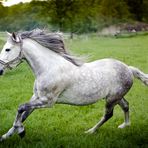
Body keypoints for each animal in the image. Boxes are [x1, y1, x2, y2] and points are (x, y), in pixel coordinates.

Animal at [0, 29, 147, 141]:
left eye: (7, 49)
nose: (0, 70)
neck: (49, 68)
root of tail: (129, 69)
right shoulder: (36, 97)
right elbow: (24, 114)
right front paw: (6, 136)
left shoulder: (47, 101)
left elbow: (20, 108)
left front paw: (21, 132)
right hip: (115, 97)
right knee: (126, 105)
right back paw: (125, 125)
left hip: (112, 99)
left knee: (108, 115)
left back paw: (90, 131)